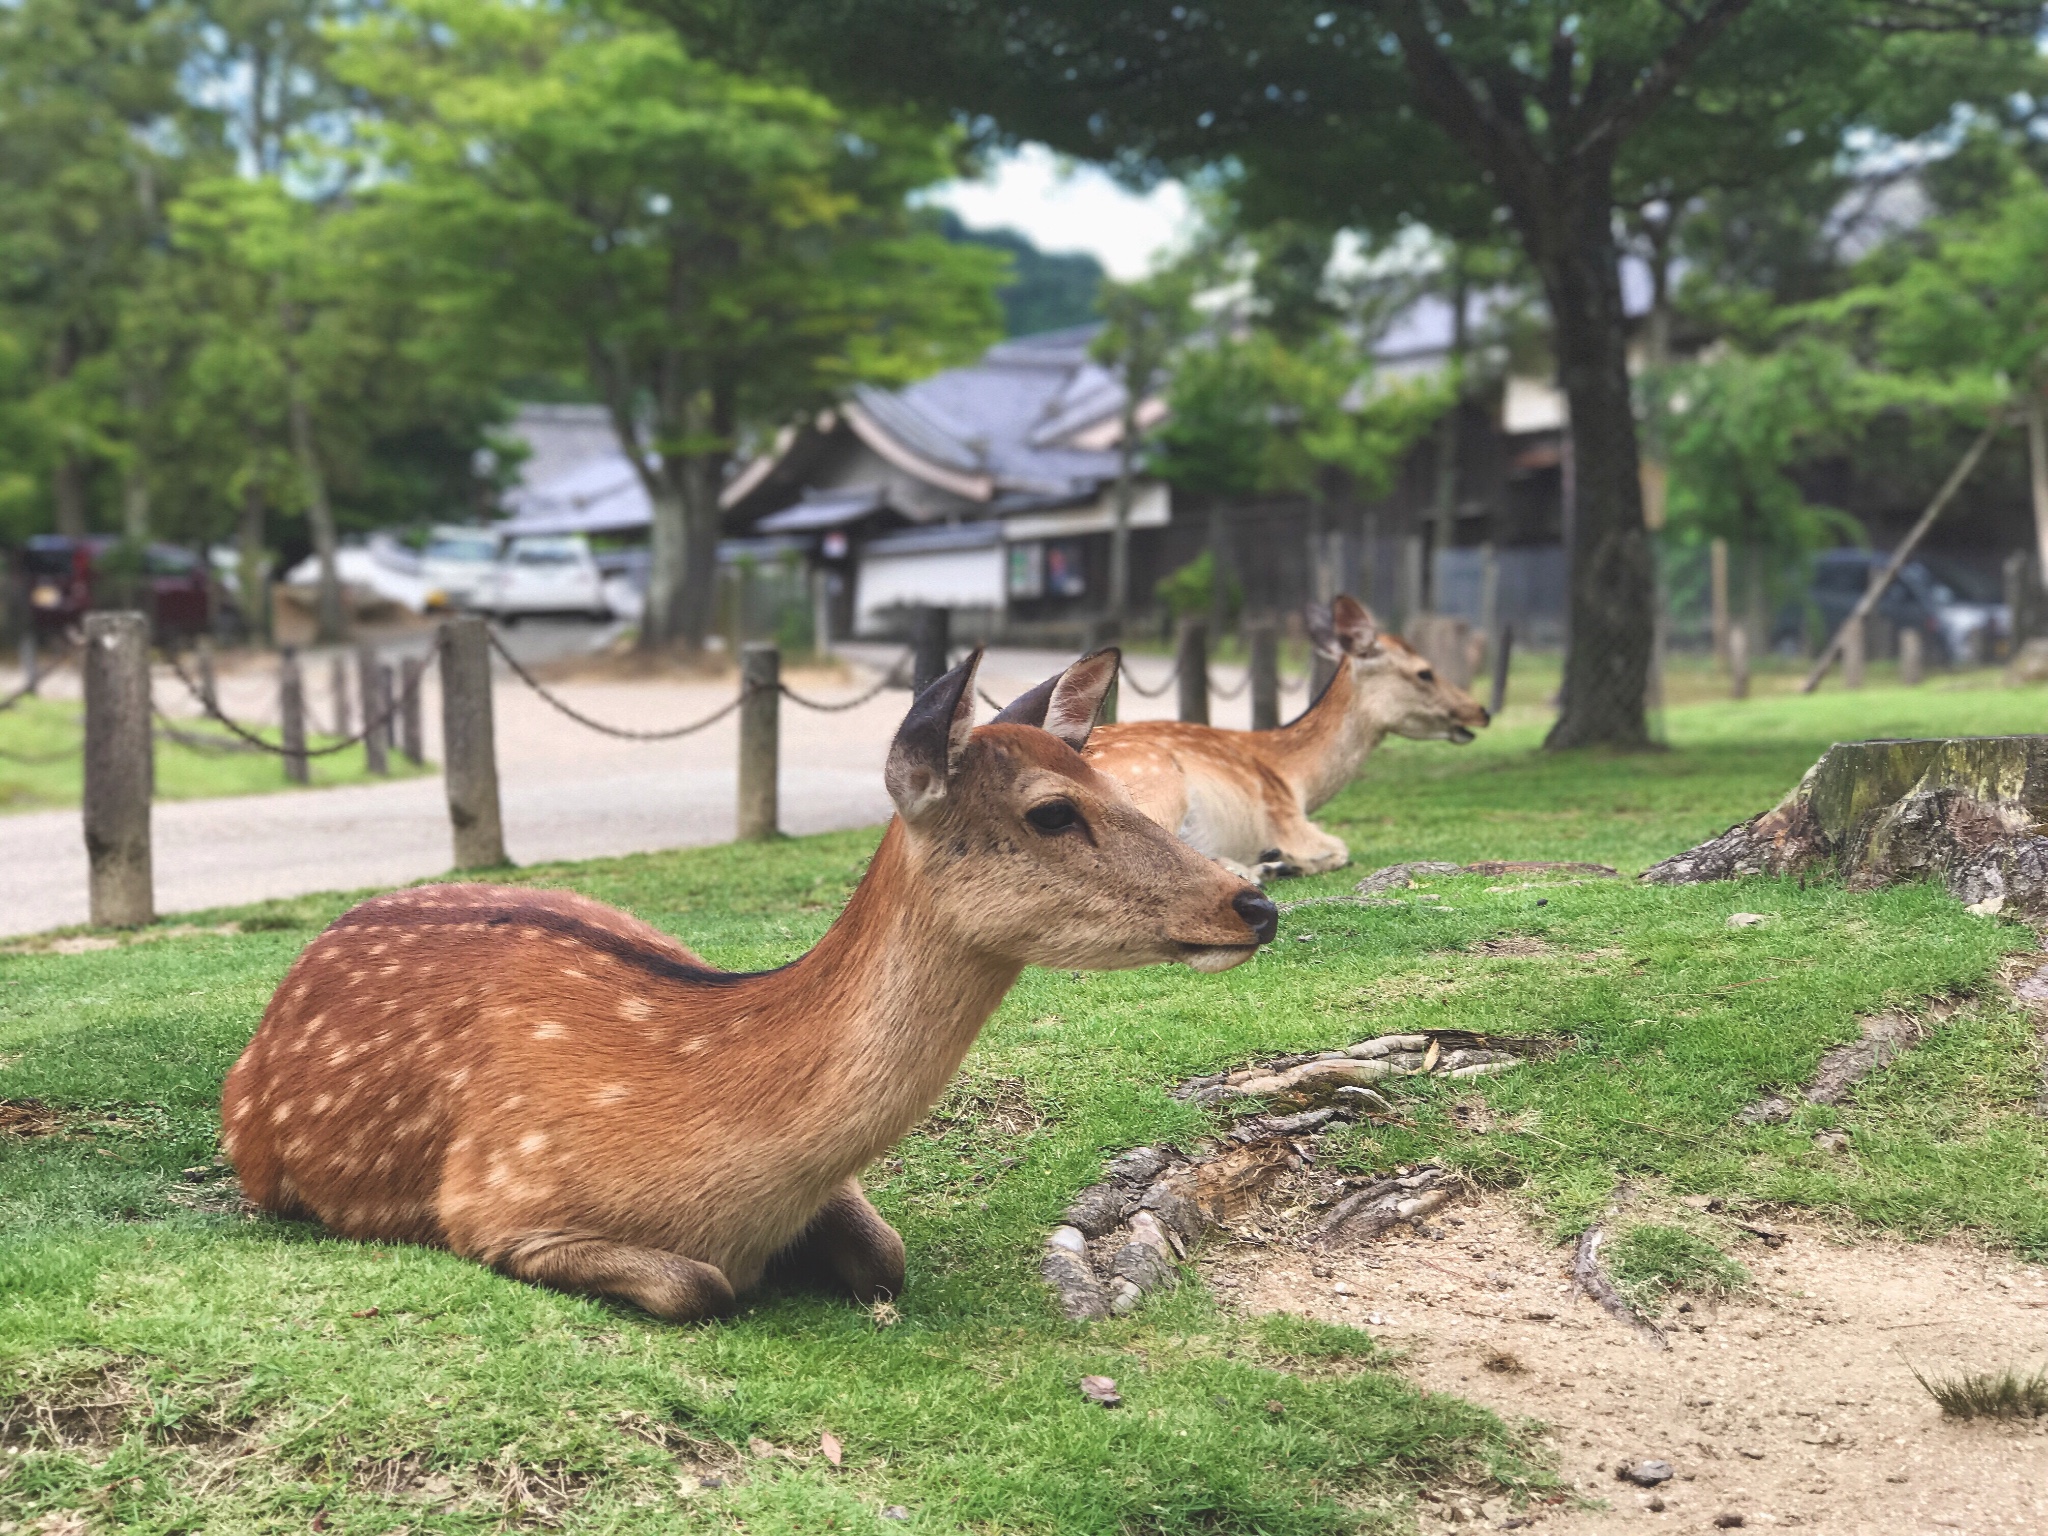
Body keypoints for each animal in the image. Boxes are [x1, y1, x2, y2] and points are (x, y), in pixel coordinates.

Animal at [228, 651, 1277, 1327]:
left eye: (1124, 787)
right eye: (1053, 811)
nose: (1255, 902)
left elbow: (887, 1257)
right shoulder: (498, 1200)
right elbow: (697, 1285)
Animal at [1073, 598, 1490, 884]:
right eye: (1425, 672)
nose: (1480, 711)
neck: (1295, 779)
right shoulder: (1287, 818)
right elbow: (1341, 848)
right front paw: (1284, 861)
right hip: (1153, 785)